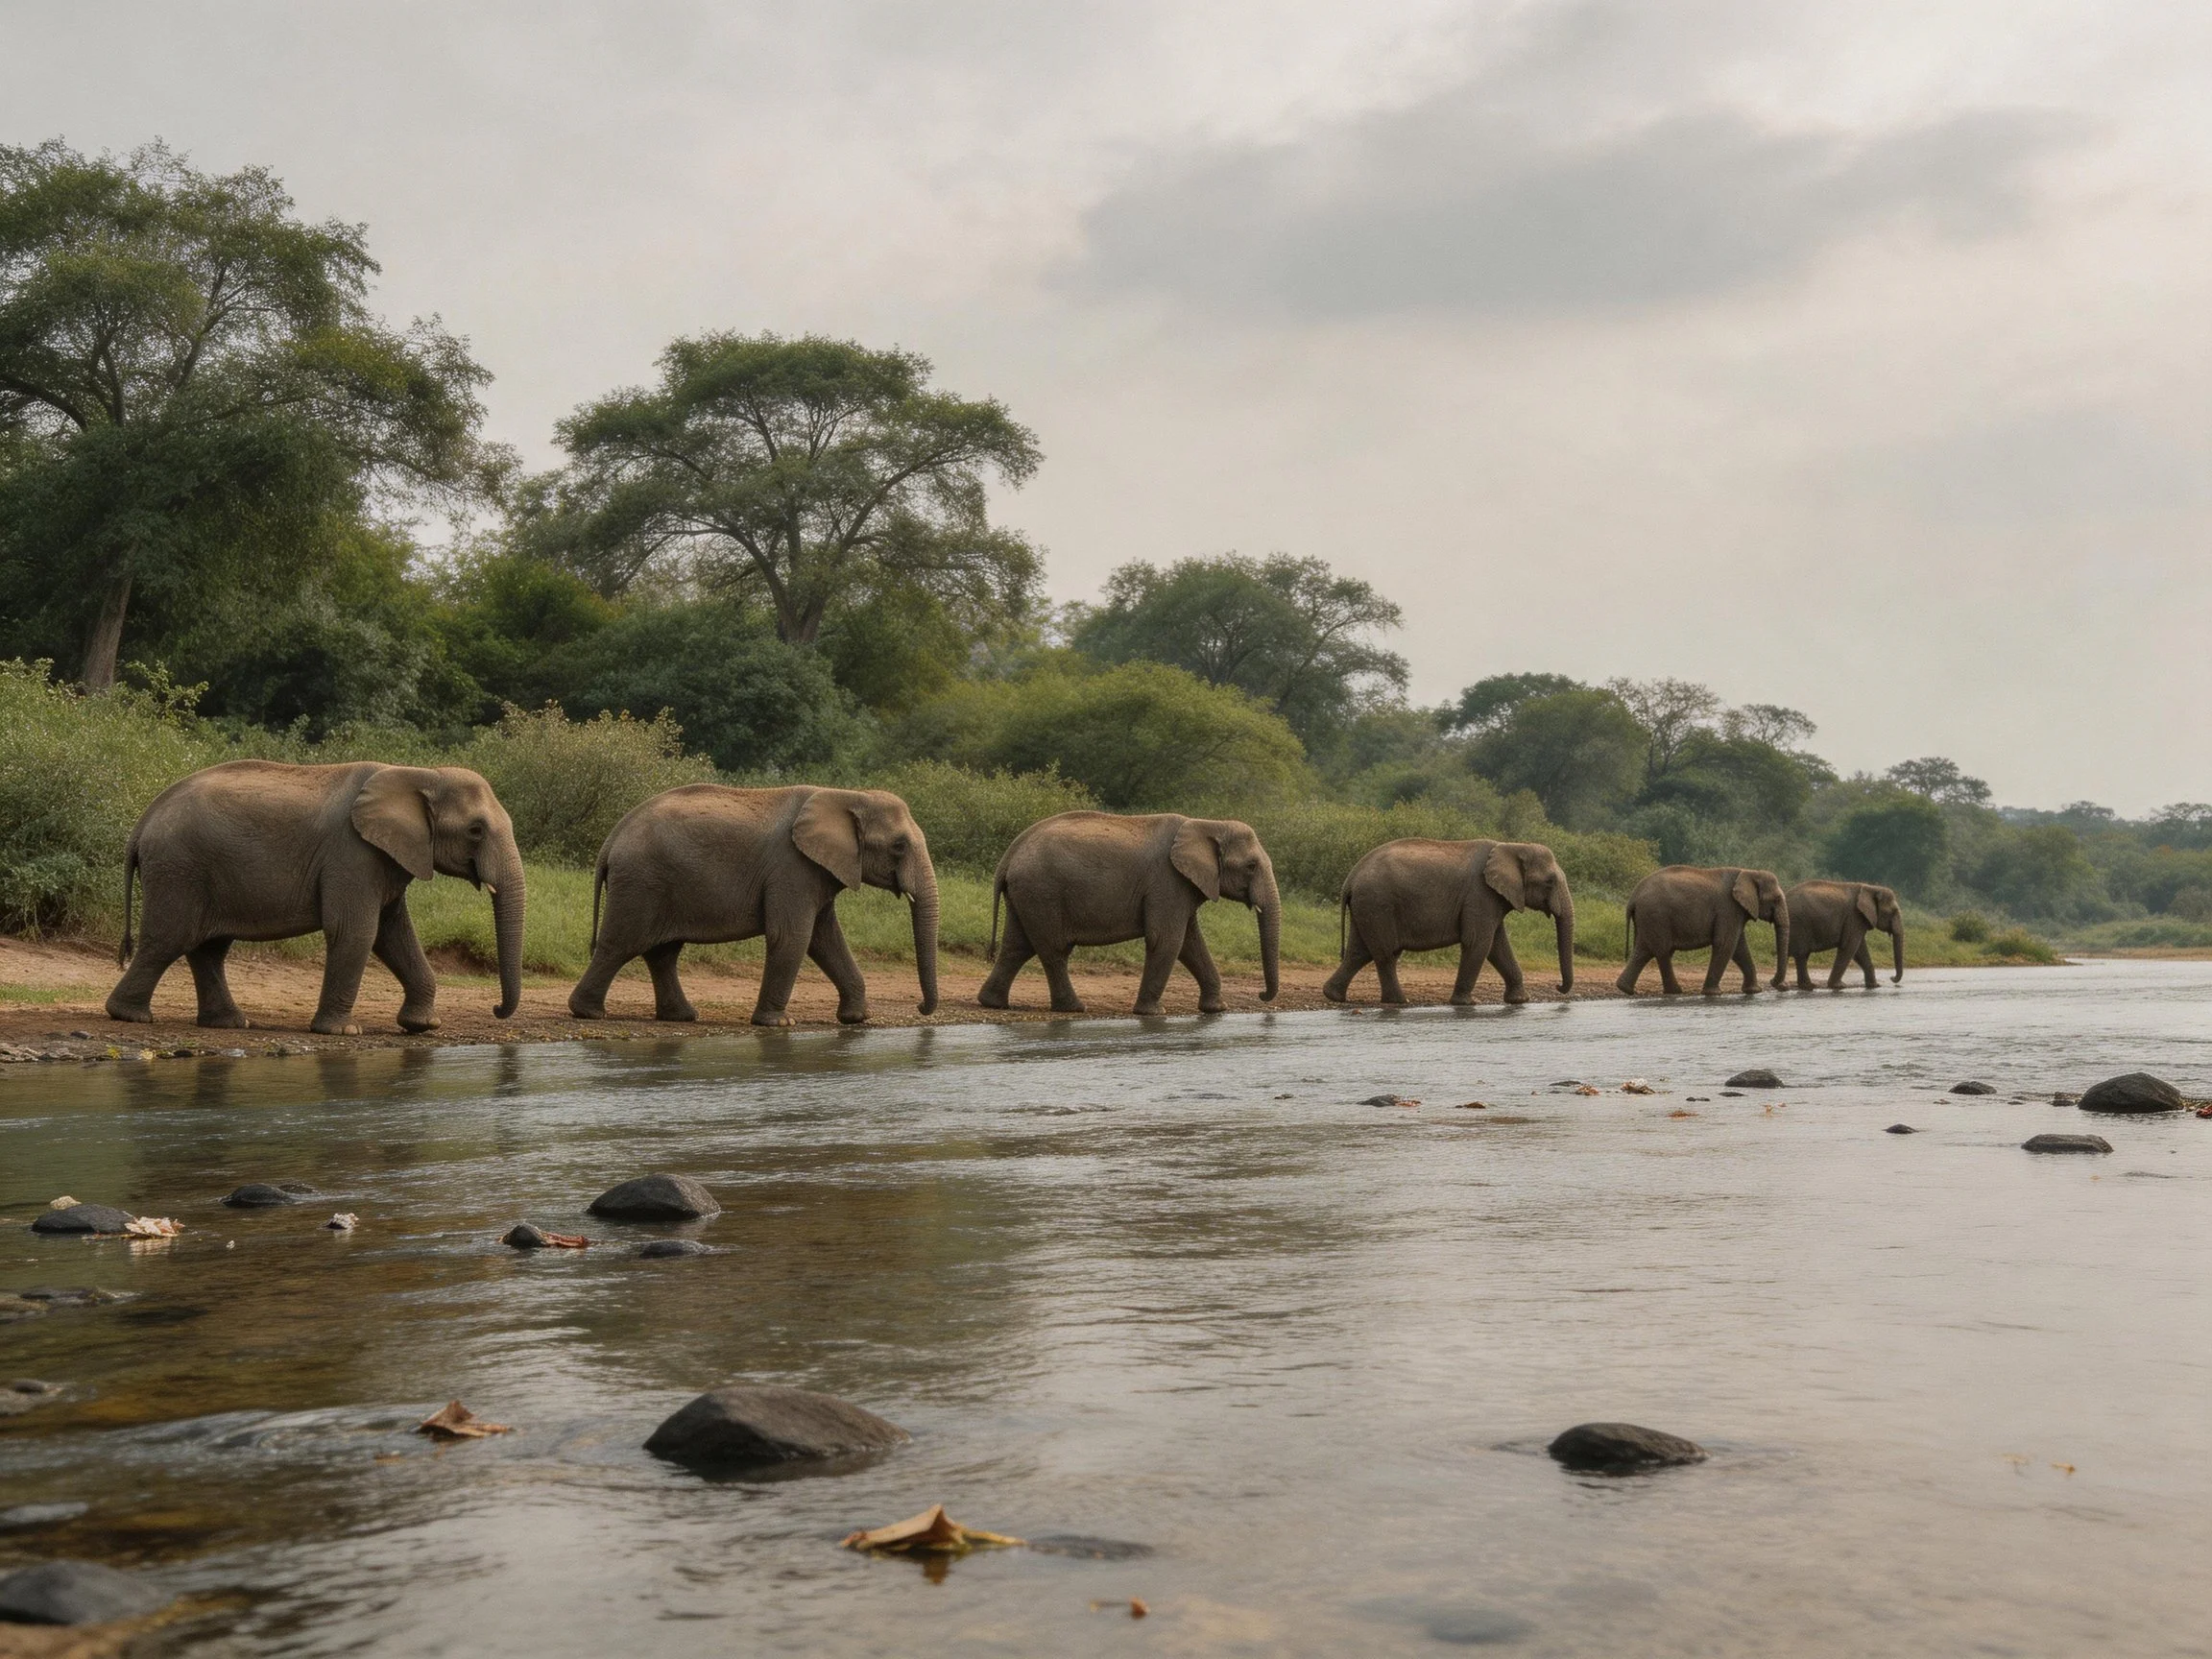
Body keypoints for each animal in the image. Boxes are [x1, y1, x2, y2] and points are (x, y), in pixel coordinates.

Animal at [106, 760, 525, 1035]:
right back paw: (131, 1017)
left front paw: (422, 1027)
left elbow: (393, 934)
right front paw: (342, 1033)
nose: (495, 1009)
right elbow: (357, 931)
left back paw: (230, 1023)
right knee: (169, 939)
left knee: (208, 948)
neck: (419, 773)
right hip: (179, 868)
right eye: (475, 830)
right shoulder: (353, 853)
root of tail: (142, 822)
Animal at [566, 785, 938, 1028]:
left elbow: (826, 939)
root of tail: (613, 837)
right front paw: (778, 1024)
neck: (847, 795)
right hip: (642, 882)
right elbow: (793, 936)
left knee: (662, 953)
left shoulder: (815, 871)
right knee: (621, 944)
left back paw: (682, 1017)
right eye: (899, 846)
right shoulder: (792, 867)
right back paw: (589, 1014)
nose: (920, 1007)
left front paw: (857, 1019)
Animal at [976, 811, 1281, 1016]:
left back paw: (992, 1003)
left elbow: (1190, 943)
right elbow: (1167, 940)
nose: (1261, 995)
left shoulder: (1182, 886)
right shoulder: (1167, 881)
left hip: (1027, 895)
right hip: (1042, 892)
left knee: (1017, 946)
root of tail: (1009, 855)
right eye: (1251, 866)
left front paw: (1217, 1009)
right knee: (1053, 950)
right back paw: (1074, 1009)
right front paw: (1153, 1014)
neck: (1207, 823)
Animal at [1322, 839, 1575, 1006]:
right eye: (1550, 882)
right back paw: (1400, 1002)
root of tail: (1350, 878)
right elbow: (1479, 943)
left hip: (1367, 907)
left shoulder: (1492, 899)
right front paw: (1465, 1004)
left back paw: (1334, 996)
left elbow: (1497, 946)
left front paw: (1519, 1001)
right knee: (1386, 953)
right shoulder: (1480, 894)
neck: (1511, 846)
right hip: (1378, 904)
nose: (1558, 986)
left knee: (1359, 952)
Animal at [1616, 865, 1791, 995]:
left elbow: (1739, 948)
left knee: (1644, 951)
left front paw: (1753, 991)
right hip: (1656, 916)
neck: (1748, 872)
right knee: (1662, 951)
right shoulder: (1728, 908)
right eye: (1776, 899)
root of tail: (1633, 897)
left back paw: (1625, 988)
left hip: (1648, 918)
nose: (1779, 984)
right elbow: (1726, 944)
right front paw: (1713, 993)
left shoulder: (1735, 912)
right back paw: (1675, 992)